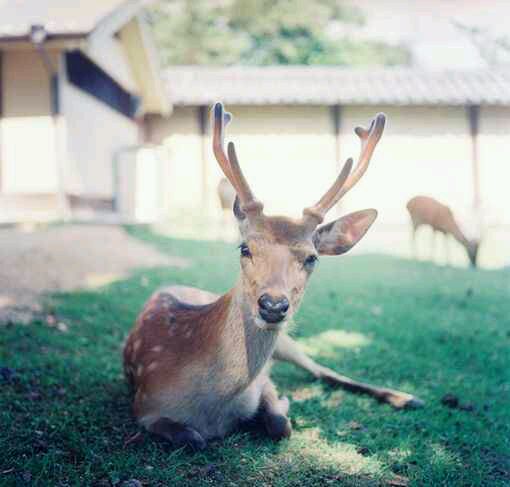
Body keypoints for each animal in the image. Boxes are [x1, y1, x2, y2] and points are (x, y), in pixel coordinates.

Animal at [123, 104, 422, 454]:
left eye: (312, 258)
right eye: (244, 248)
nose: (273, 306)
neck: (213, 408)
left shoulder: (262, 382)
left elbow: (280, 424)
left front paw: (283, 404)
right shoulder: (145, 404)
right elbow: (192, 439)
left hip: (288, 342)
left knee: (323, 370)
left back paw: (408, 397)